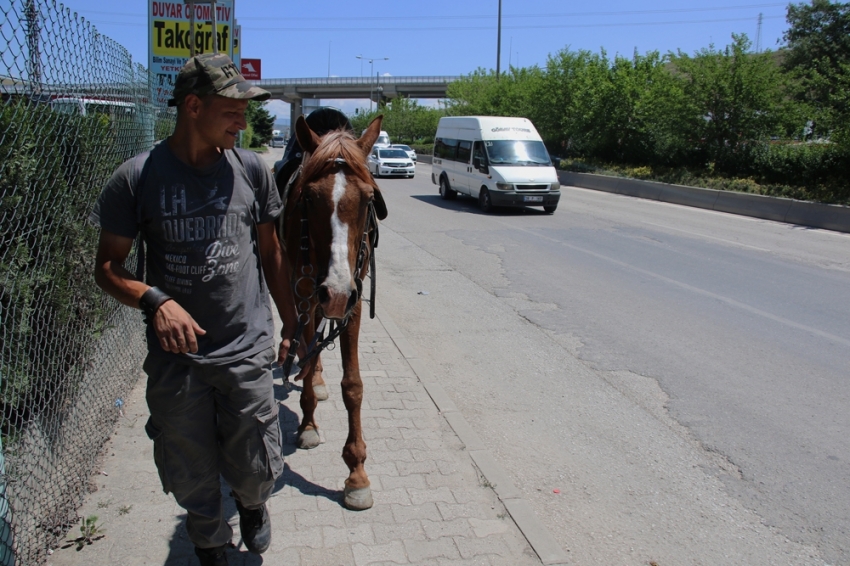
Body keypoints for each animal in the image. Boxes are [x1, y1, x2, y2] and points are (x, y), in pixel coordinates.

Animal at [276, 114, 386, 510]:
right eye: (307, 198)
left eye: (369, 198)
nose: (336, 292)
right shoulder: (307, 294)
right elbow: (307, 359)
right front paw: (308, 425)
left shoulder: (352, 302)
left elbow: (353, 385)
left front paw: (356, 473)